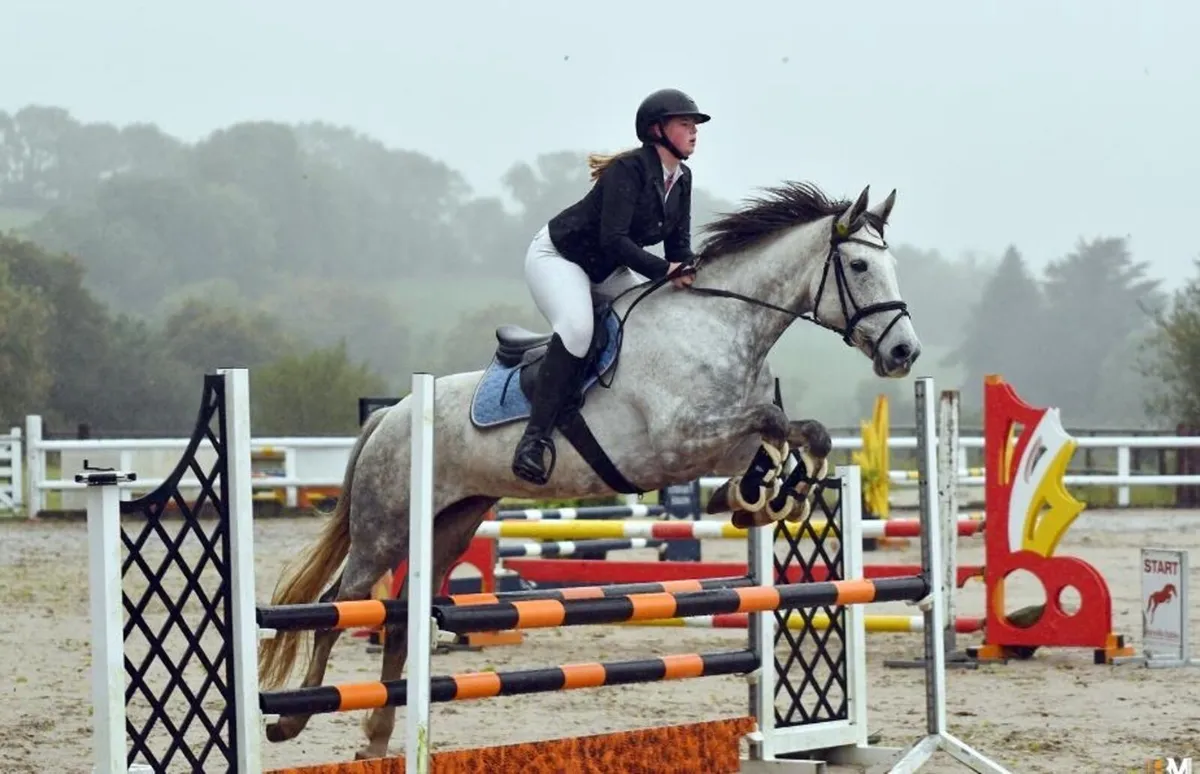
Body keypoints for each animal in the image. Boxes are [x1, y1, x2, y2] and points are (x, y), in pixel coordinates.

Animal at [256, 181, 923, 760]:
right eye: (859, 267)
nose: (903, 353)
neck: (719, 325)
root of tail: (391, 415)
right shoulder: (682, 439)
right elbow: (774, 421)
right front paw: (769, 492)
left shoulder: (722, 443)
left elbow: (794, 434)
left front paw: (766, 496)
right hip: (385, 526)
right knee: (338, 609)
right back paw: (290, 722)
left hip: (451, 525)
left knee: (399, 622)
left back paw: (374, 740)